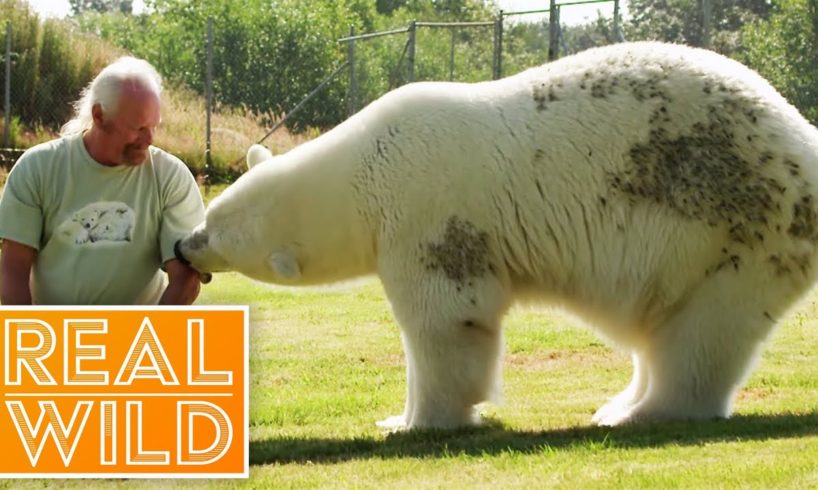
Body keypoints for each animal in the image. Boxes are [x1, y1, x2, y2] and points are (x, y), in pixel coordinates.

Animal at [176, 42, 818, 430]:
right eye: (207, 216)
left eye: (216, 231)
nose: (183, 245)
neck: (364, 168)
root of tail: (802, 140)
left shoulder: (428, 214)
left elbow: (447, 318)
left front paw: (413, 422)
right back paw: (619, 403)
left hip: (736, 233)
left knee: (701, 334)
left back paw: (641, 412)